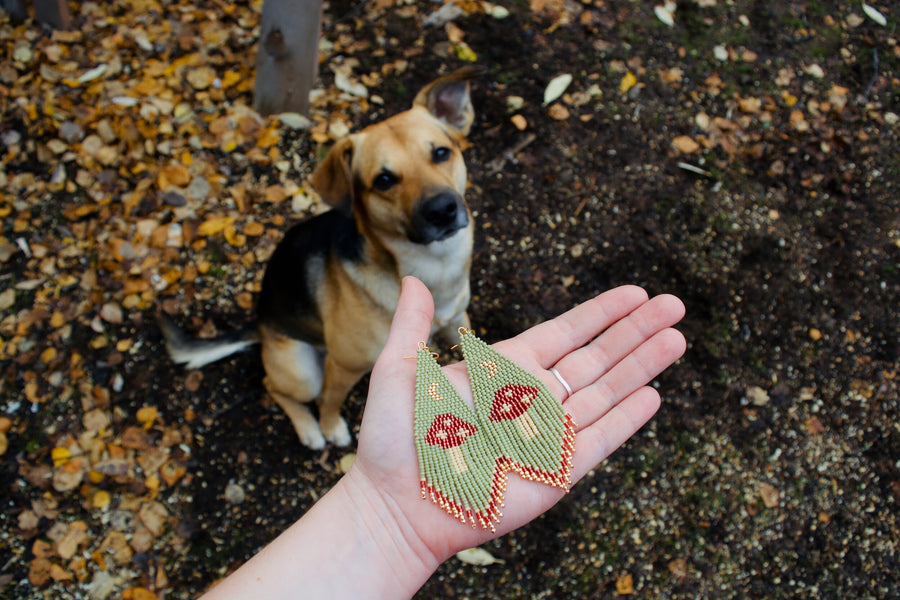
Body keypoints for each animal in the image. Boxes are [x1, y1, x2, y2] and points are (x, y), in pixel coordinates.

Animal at [160, 67, 486, 450]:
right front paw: (331, 429)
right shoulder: (344, 366)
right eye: (384, 179)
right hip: (303, 371)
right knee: (278, 387)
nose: (442, 210)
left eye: (441, 152)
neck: (433, 266)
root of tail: (260, 324)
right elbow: (330, 401)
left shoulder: (456, 319)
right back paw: (309, 429)